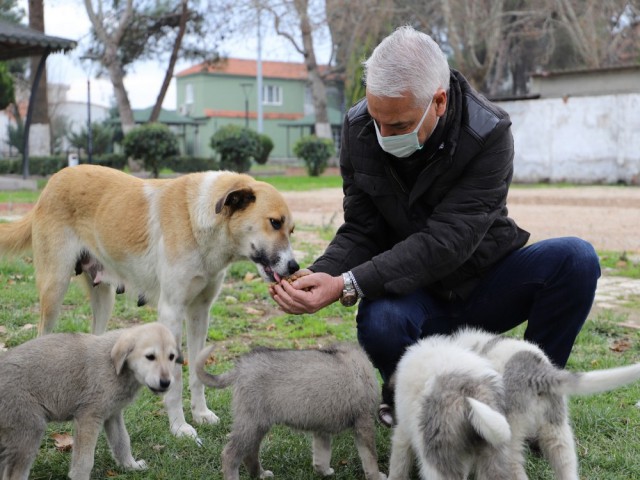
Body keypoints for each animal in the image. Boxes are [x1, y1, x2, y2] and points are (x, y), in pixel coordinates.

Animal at [0, 164, 300, 438]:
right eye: (274, 222)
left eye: (292, 230)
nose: (294, 266)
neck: (196, 220)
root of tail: (55, 179)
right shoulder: (172, 312)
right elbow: (176, 380)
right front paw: (180, 427)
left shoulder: (199, 312)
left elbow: (196, 373)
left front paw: (201, 414)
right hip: (55, 288)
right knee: (41, 334)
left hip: (104, 297)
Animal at [0, 322, 180, 480]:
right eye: (150, 357)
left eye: (172, 357)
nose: (166, 382)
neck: (114, 366)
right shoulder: (88, 418)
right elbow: (85, 460)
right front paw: (80, 476)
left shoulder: (112, 415)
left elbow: (122, 442)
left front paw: (131, 466)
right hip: (29, 429)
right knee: (13, 475)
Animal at [194, 344, 384, 478]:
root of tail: (241, 366)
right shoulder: (364, 422)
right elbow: (370, 457)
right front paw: (377, 476)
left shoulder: (321, 428)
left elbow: (321, 455)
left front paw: (324, 472)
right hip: (251, 422)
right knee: (230, 455)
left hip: (257, 424)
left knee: (250, 452)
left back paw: (260, 475)